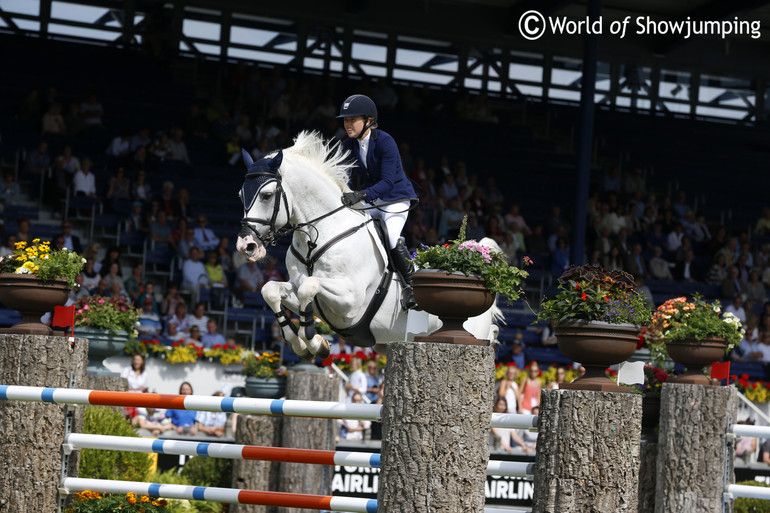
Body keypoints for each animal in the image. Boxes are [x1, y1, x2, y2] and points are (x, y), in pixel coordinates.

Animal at [236, 130, 498, 358]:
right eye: (240, 195)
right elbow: (270, 290)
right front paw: (303, 344)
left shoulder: (350, 300)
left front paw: (314, 341)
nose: (246, 246)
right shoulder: (298, 286)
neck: (317, 237)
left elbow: (308, 287)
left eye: (266, 195)